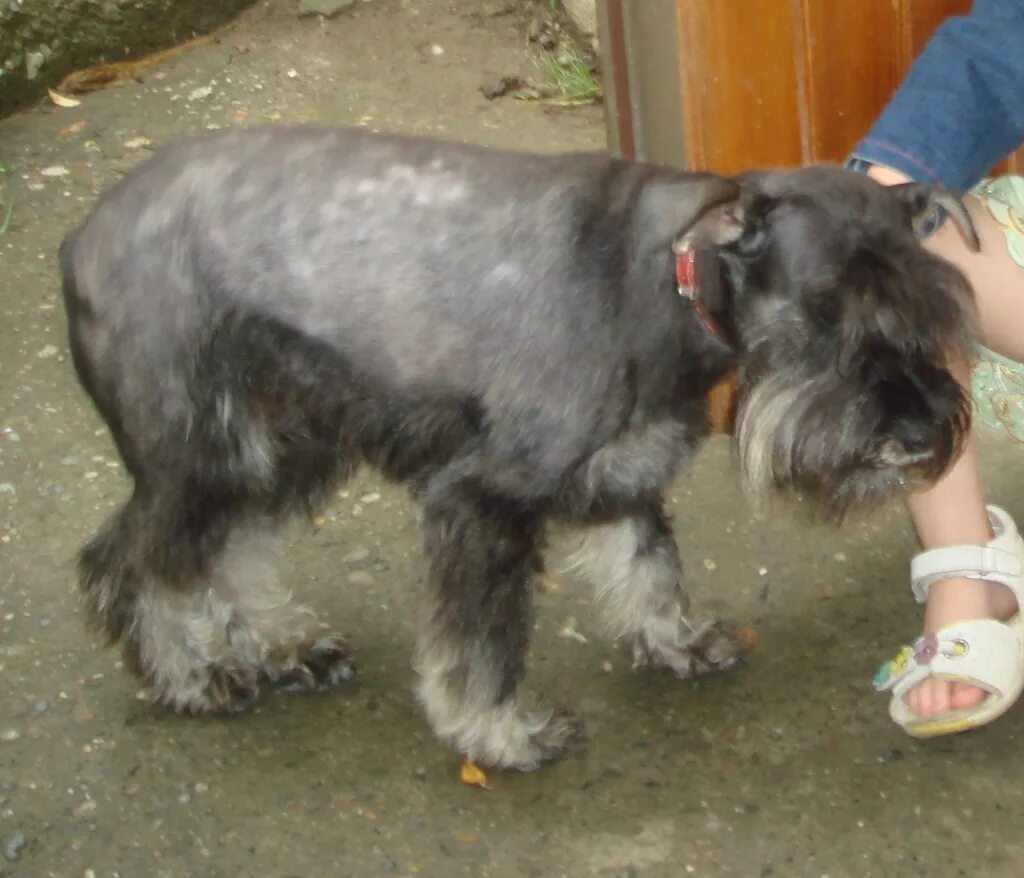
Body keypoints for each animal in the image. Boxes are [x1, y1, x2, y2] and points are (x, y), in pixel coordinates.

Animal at [59, 123, 978, 766]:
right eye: (824, 311)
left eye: (932, 310)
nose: (918, 432)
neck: (662, 281)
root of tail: (82, 237)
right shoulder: (480, 502)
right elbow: (483, 644)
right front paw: (500, 734)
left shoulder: (626, 466)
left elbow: (649, 565)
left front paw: (677, 642)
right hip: (197, 453)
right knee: (134, 562)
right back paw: (193, 676)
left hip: (279, 445)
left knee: (230, 551)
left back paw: (284, 647)